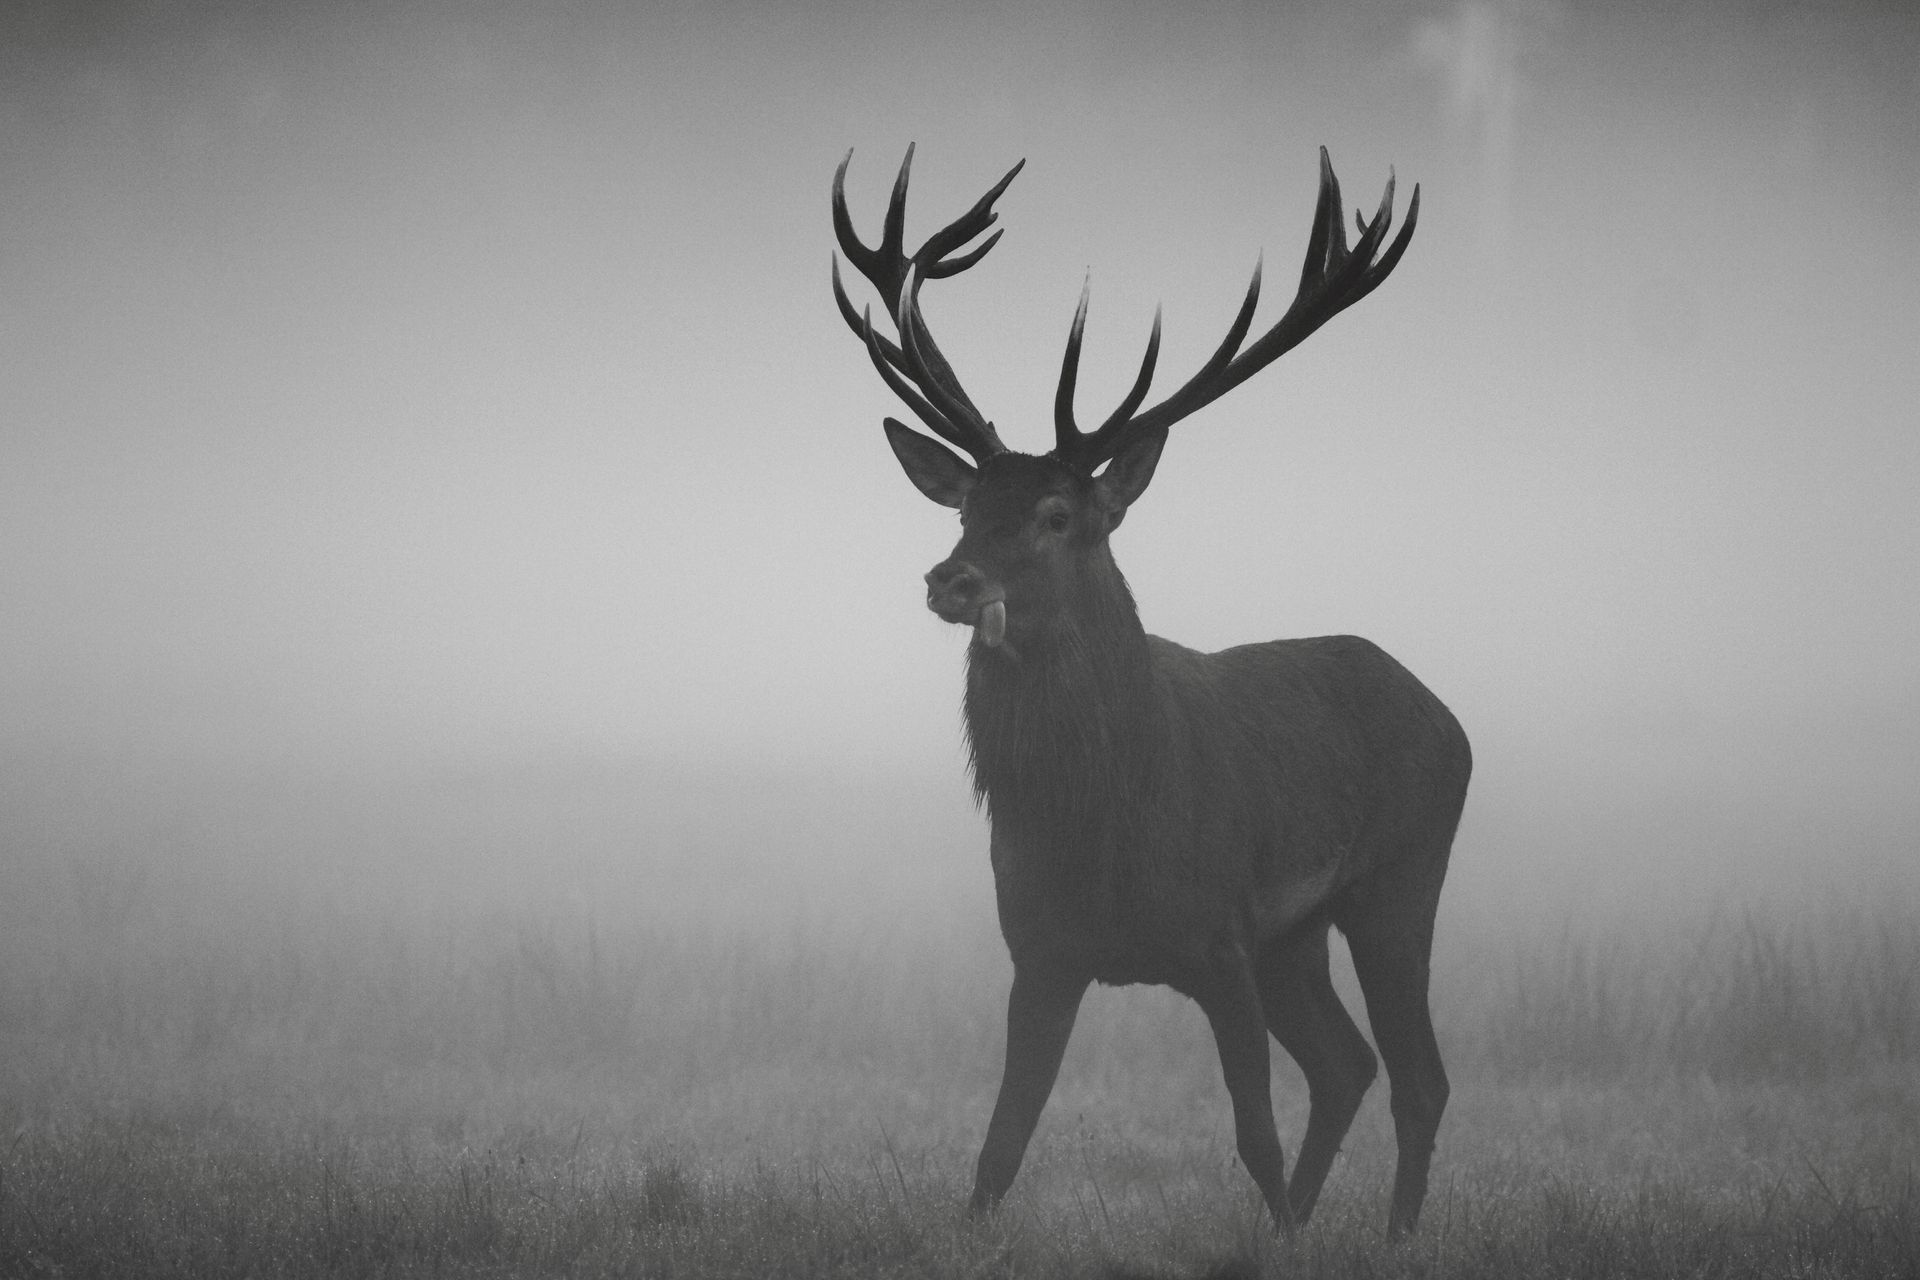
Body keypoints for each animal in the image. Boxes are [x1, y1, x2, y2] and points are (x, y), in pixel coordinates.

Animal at [831, 144, 1471, 1236]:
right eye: (965, 506)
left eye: (1055, 514)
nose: (950, 579)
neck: (1099, 827)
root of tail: (1450, 716)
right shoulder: (1041, 949)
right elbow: (998, 1148)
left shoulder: (1217, 937)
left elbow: (1252, 1131)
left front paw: (1282, 1235)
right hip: (1296, 935)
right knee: (1348, 1064)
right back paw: (1309, 1224)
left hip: (1399, 878)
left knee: (1417, 1074)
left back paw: (1391, 1238)